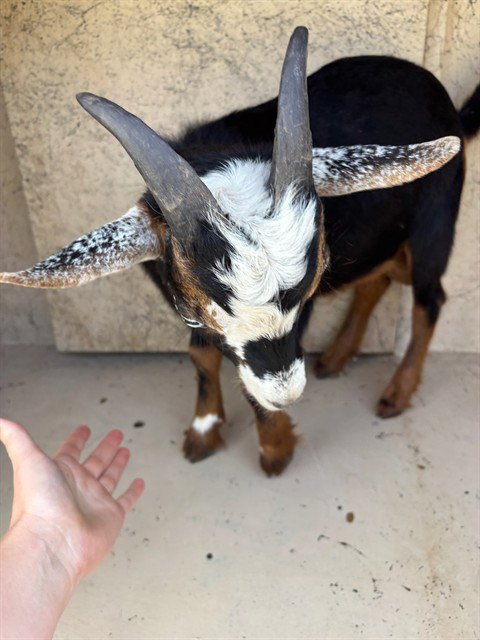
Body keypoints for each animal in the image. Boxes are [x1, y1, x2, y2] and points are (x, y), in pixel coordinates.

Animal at [1, 27, 477, 476]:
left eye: (310, 292)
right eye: (194, 314)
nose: (287, 395)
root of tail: (447, 101)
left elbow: (247, 384)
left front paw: (275, 450)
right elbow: (201, 355)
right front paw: (204, 429)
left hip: (435, 224)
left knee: (430, 298)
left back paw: (396, 392)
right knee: (376, 281)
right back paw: (337, 356)